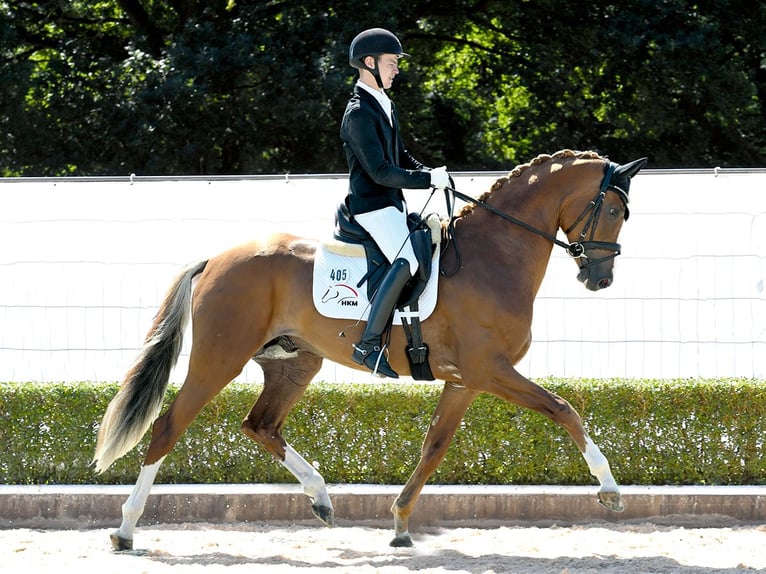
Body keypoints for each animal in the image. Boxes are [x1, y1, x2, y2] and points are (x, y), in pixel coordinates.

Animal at [94, 150, 648, 552]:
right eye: (614, 211)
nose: (599, 279)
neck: (495, 255)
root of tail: (216, 258)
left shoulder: (464, 380)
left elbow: (434, 447)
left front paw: (400, 523)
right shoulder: (489, 370)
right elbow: (564, 409)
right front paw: (609, 488)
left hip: (296, 362)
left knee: (261, 425)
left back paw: (321, 499)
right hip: (220, 358)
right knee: (168, 428)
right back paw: (125, 529)